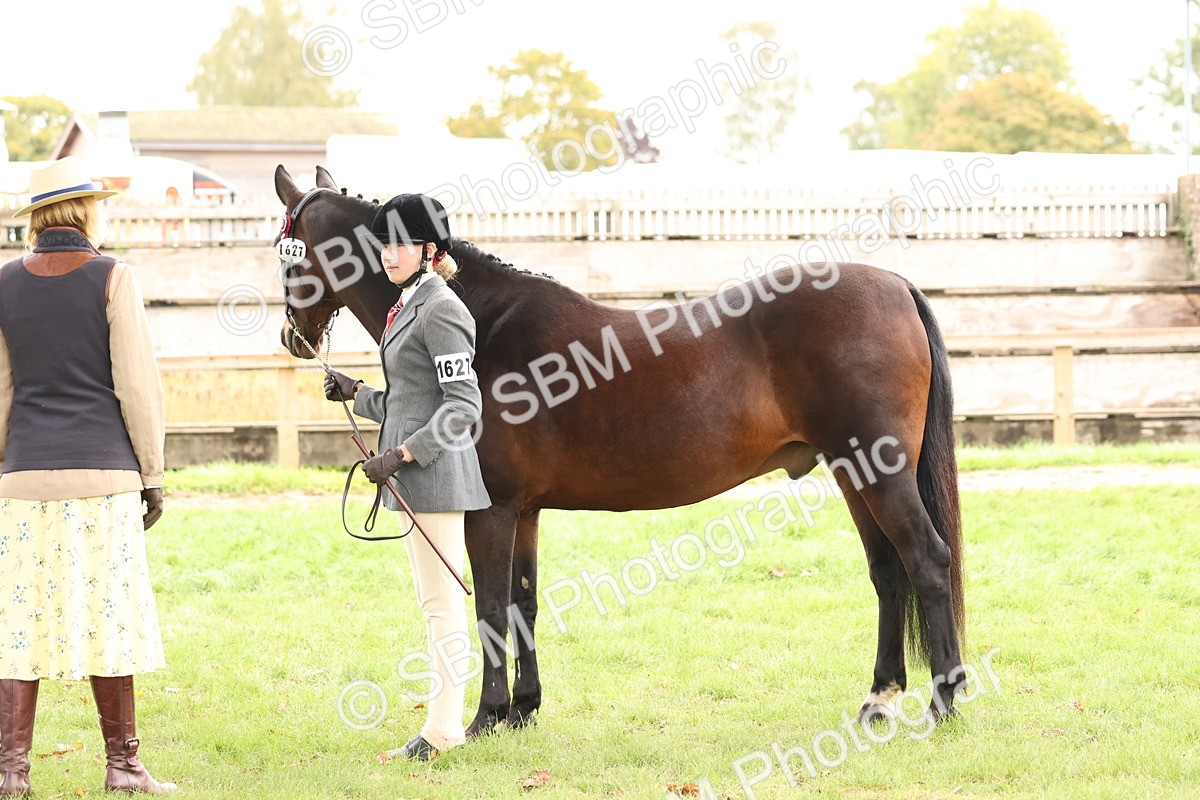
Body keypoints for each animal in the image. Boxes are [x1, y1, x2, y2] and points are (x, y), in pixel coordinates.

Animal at [272, 165, 966, 735]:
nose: (292, 337)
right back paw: (879, 698)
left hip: (881, 474)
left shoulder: (491, 510)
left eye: (287, 251)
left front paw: (486, 717)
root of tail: (896, 285)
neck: (481, 321)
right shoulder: (525, 512)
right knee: (887, 572)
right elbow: (524, 601)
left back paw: (944, 702)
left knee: (928, 560)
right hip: (854, 474)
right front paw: (523, 711)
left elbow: (492, 607)